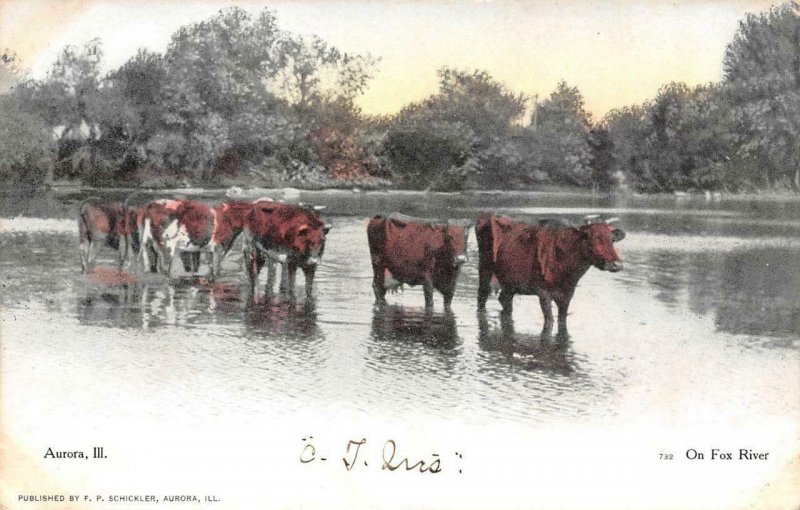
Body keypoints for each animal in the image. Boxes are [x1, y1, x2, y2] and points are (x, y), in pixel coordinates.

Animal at [476, 212, 624, 338]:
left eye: (612, 240)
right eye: (593, 238)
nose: (616, 264)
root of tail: (487, 216)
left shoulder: (567, 295)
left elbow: (562, 321)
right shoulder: (543, 292)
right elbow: (550, 321)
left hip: (509, 281)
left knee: (504, 299)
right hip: (484, 267)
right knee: (482, 296)